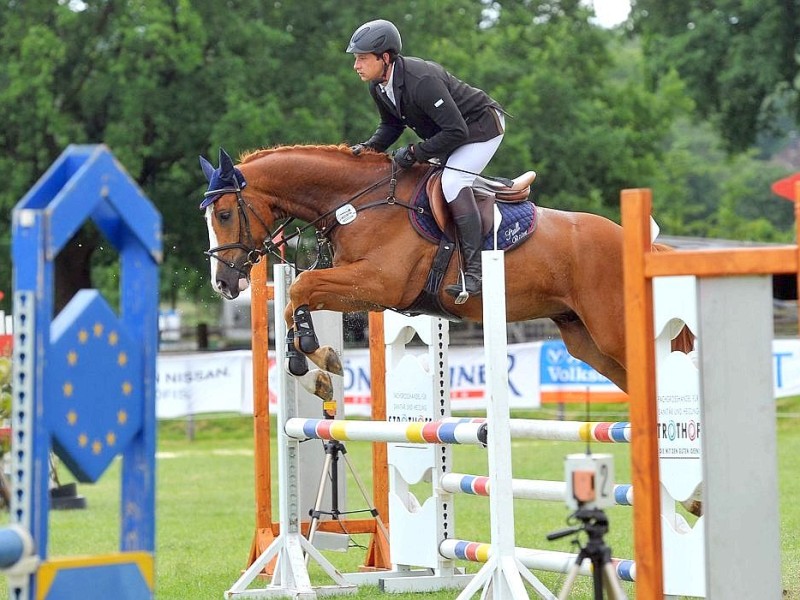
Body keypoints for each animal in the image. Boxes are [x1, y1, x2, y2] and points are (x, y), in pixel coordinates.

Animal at [202, 143, 664, 400]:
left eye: (224, 214)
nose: (223, 284)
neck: (358, 201)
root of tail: (637, 242)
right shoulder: (359, 287)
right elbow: (293, 300)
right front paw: (311, 367)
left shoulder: (377, 285)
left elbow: (301, 286)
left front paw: (319, 356)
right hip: (586, 341)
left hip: (613, 332)